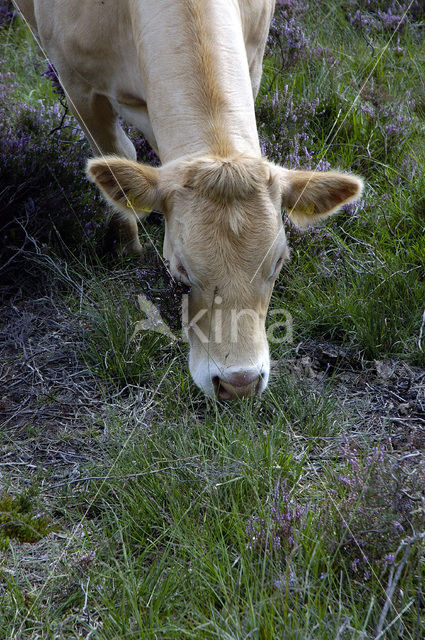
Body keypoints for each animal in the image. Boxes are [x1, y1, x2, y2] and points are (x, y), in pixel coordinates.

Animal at [14, 1, 362, 400]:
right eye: (179, 271)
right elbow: (118, 153)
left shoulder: (253, 59)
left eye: (278, 263)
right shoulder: (78, 87)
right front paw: (125, 246)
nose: (239, 384)